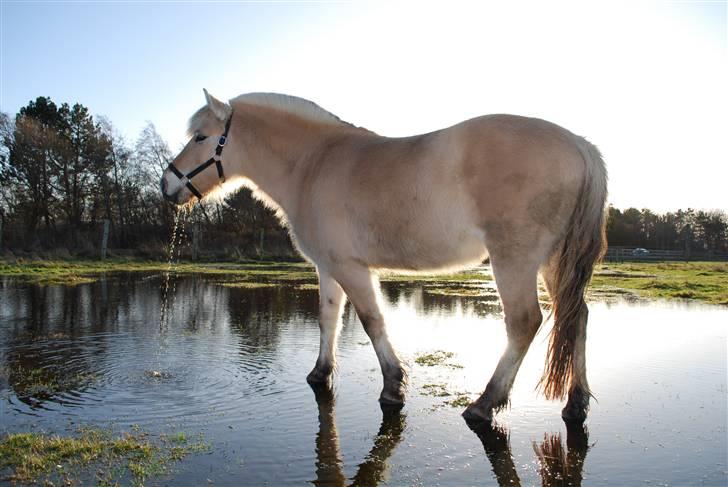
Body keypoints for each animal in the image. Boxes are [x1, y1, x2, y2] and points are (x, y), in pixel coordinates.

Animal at [161, 90, 608, 424]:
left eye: (200, 137)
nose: (167, 184)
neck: (313, 165)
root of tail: (579, 145)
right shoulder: (328, 267)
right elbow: (328, 318)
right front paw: (320, 374)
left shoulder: (351, 267)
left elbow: (372, 320)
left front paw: (393, 386)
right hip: (554, 262)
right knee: (576, 317)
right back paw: (576, 403)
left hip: (514, 260)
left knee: (524, 323)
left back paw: (484, 404)